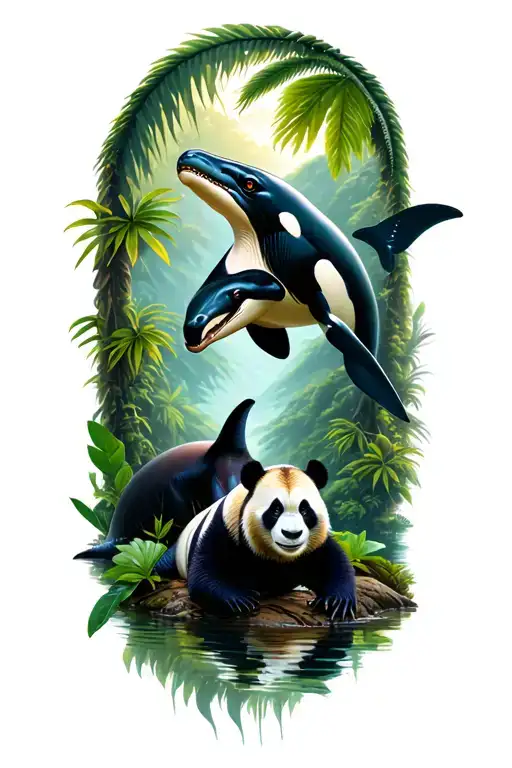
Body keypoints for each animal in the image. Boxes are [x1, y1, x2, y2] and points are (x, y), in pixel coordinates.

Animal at [156, 459, 356, 621]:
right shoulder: (227, 527)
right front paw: (240, 600)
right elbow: (205, 573)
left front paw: (336, 602)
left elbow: (335, 562)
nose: (292, 534)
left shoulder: (314, 543)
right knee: (164, 563)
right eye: (275, 509)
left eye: (305, 510)